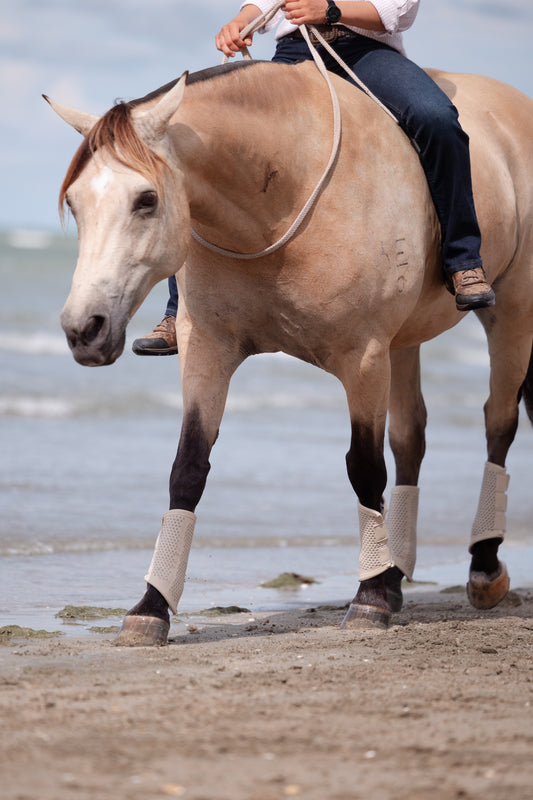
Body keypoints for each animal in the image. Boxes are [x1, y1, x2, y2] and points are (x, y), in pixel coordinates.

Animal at [45, 59, 532, 648]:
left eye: (146, 200)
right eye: (75, 203)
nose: (83, 329)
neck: (279, 198)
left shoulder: (364, 357)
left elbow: (364, 468)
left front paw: (368, 600)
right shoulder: (207, 349)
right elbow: (188, 469)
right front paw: (151, 607)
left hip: (511, 311)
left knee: (498, 422)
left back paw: (482, 568)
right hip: (405, 343)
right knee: (411, 438)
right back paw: (397, 575)